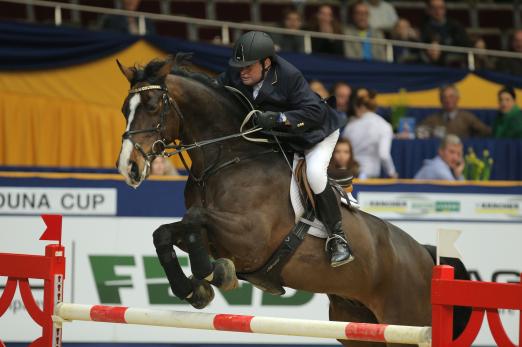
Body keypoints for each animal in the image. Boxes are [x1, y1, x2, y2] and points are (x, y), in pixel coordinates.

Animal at [115, 55, 468, 346]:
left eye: (152, 105)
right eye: (123, 110)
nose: (127, 168)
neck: (228, 157)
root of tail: (425, 255)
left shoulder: (250, 238)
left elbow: (195, 219)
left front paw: (215, 275)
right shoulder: (217, 237)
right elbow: (165, 232)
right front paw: (194, 288)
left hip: (406, 319)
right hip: (358, 326)